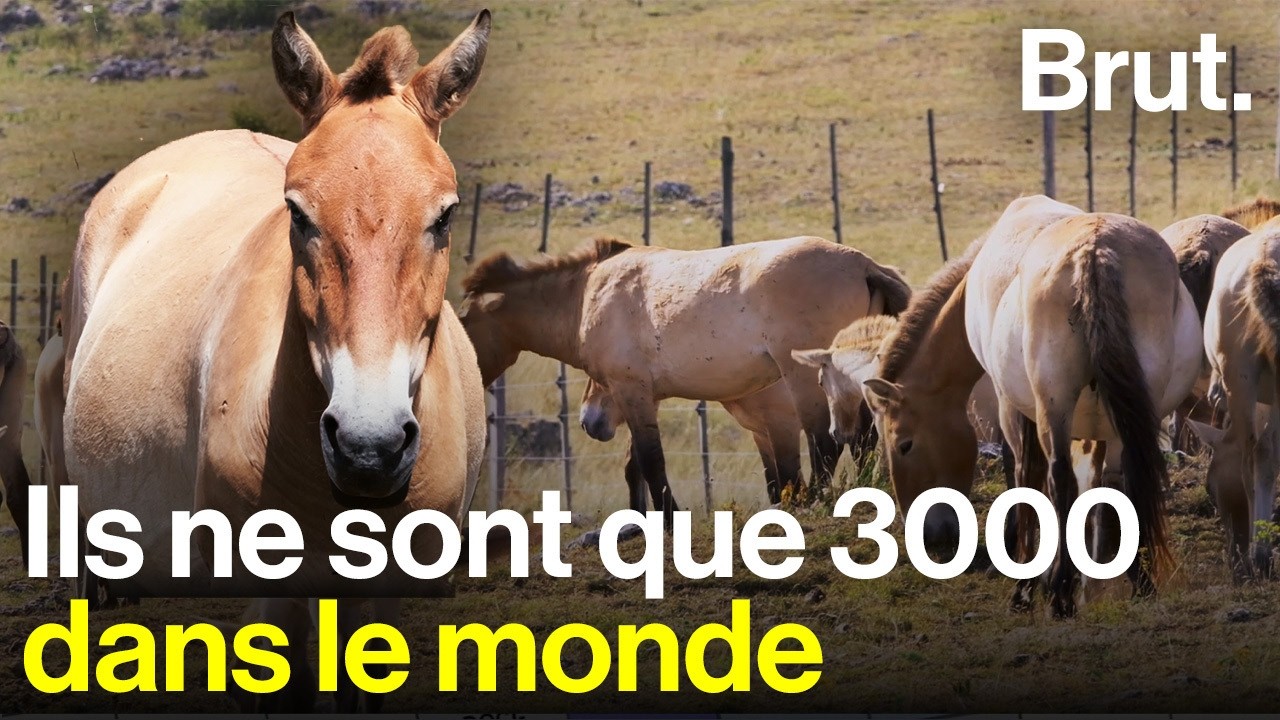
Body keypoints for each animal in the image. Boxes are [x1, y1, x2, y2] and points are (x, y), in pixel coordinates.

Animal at [459, 235, 910, 520]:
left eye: (463, 320)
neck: (588, 293)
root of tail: (864, 264)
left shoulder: (630, 390)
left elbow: (650, 460)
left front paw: (670, 517)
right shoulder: (643, 396)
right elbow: (637, 463)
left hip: (805, 376)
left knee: (826, 443)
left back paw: (818, 500)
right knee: (863, 438)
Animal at [861, 195, 1201, 617]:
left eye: (904, 445)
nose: (931, 538)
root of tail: (1095, 250)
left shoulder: (1011, 406)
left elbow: (1024, 474)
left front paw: (1028, 576)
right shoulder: (1095, 423)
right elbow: (1097, 482)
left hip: (1054, 405)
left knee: (1058, 478)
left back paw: (1057, 595)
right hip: (1134, 409)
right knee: (1131, 474)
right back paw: (1138, 582)